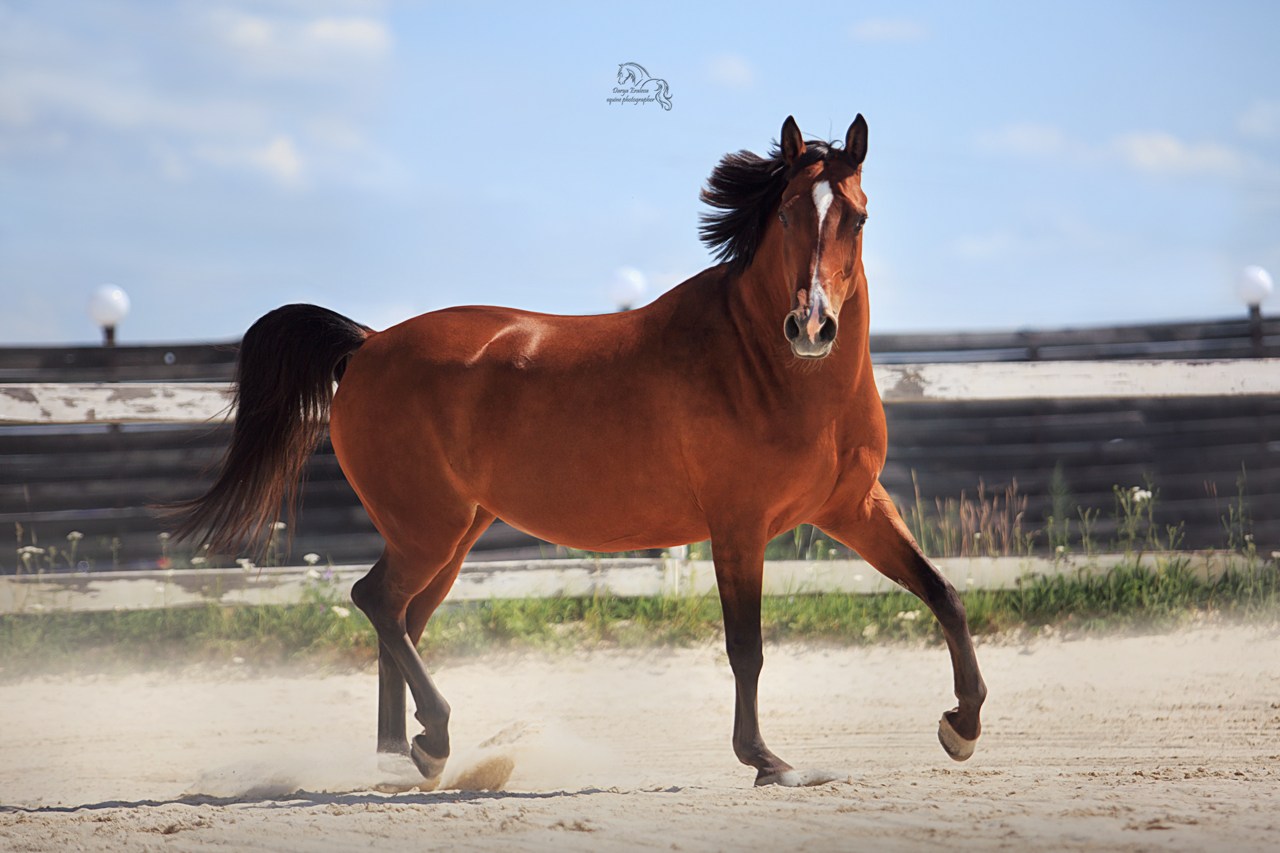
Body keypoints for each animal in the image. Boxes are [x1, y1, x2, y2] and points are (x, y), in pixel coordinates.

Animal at [174, 115, 987, 788]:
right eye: (787, 211)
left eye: (857, 215)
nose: (811, 326)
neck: (766, 367)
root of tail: (369, 344)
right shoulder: (739, 526)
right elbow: (746, 646)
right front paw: (768, 762)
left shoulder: (852, 507)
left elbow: (943, 591)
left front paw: (962, 725)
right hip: (429, 528)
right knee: (377, 602)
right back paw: (433, 741)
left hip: (451, 533)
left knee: (400, 618)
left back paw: (401, 761)